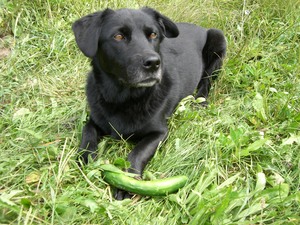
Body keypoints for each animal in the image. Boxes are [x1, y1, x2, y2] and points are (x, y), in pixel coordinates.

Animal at [72, 6, 225, 199]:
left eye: (153, 34)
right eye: (118, 36)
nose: (153, 63)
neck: (124, 99)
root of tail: (200, 27)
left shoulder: (159, 132)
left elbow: (137, 153)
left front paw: (127, 181)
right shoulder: (95, 119)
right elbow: (87, 131)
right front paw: (87, 157)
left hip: (218, 40)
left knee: (207, 80)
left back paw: (200, 101)